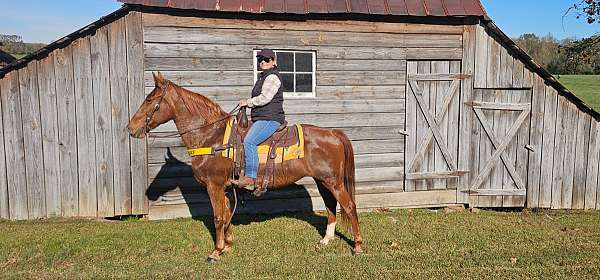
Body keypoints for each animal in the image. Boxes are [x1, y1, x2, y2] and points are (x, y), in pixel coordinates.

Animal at [128, 72, 364, 262]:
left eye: (150, 99)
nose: (130, 128)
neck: (211, 137)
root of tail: (333, 132)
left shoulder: (213, 186)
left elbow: (218, 217)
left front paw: (215, 252)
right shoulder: (224, 188)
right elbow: (226, 215)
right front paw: (227, 246)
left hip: (333, 182)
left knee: (350, 207)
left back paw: (358, 246)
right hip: (323, 181)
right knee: (330, 206)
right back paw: (326, 240)